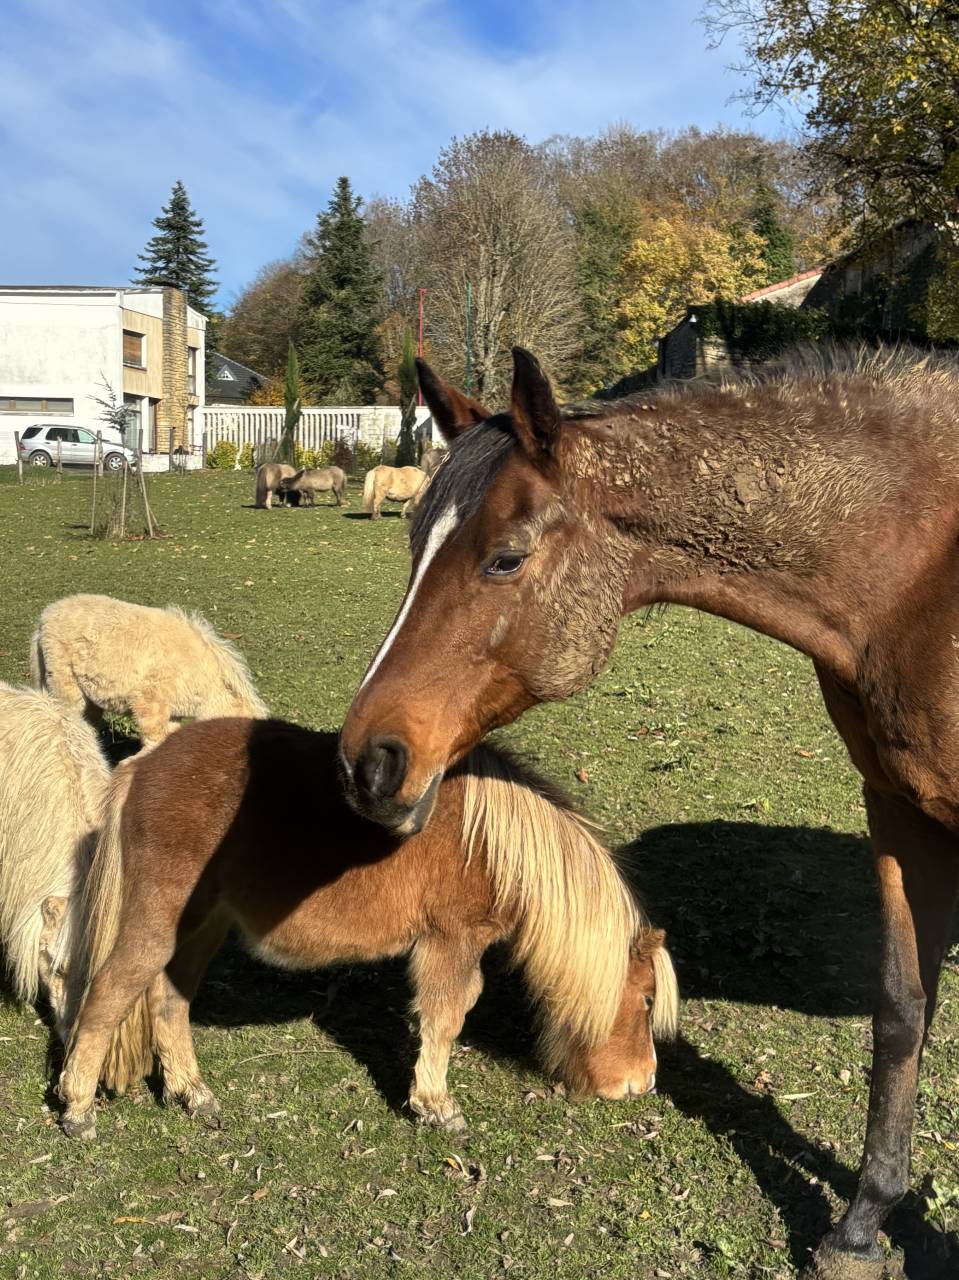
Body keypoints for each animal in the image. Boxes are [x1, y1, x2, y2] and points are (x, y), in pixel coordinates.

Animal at [57, 717, 677, 1140]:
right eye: (646, 1001)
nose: (643, 1083)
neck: (493, 843)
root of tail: (142, 766)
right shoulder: (451, 941)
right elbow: (447, 1016)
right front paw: (435, 1105)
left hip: (203, 925)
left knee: (168, 1000)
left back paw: (191, 1093)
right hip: (156, 922)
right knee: (108, 996)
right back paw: (78, 1108)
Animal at [339, 346, 959, 1279]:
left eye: (505, 559)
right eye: (413, 544)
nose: (366, 760)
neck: (920, 578)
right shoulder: (897, 811)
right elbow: (900, 1011)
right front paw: (860, 1225)